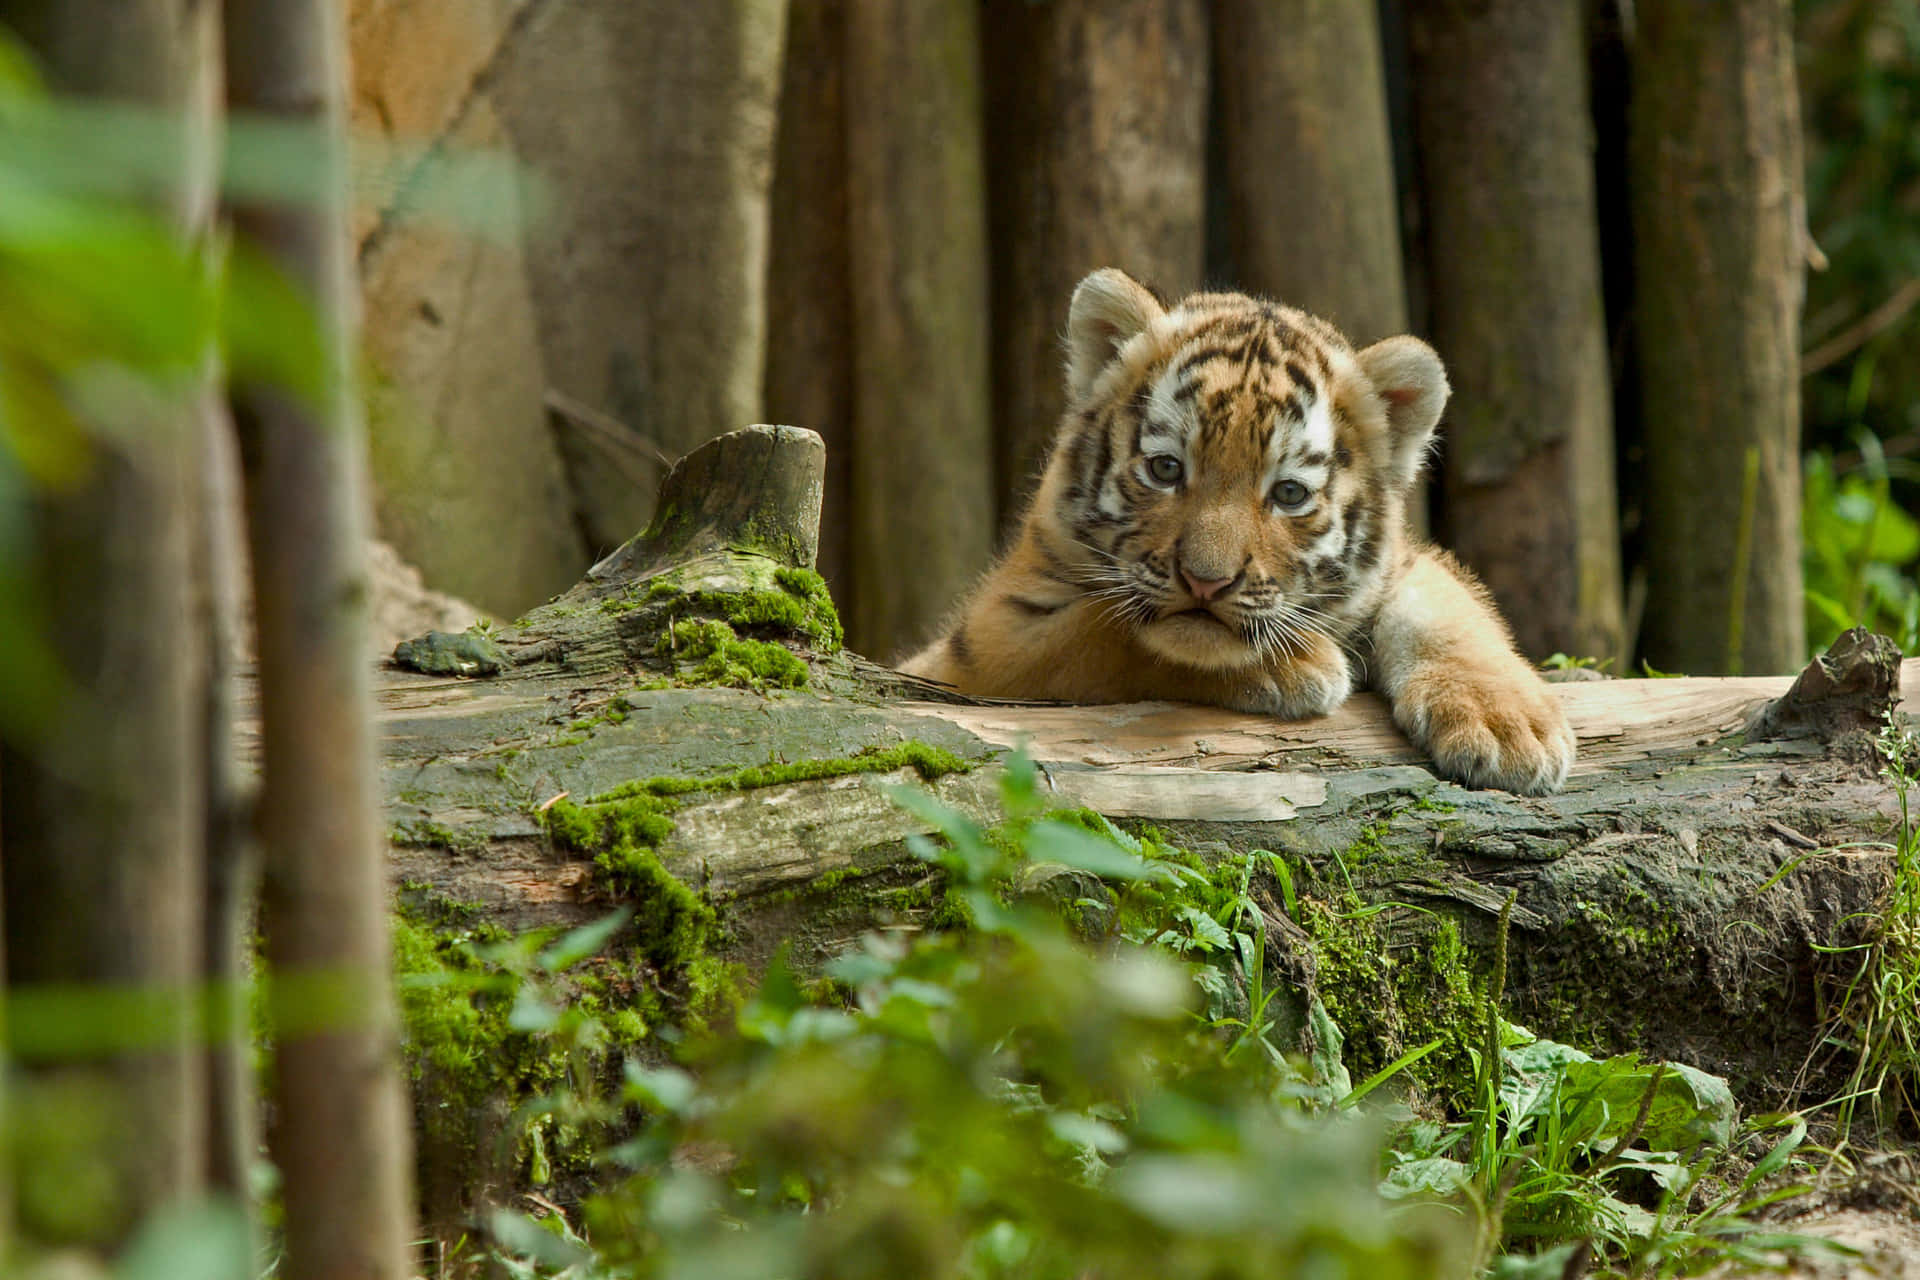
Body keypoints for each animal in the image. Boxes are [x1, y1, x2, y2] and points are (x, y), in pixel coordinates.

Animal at [900, 267, 1575, 795]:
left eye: (1289, 494)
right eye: (1166, 469)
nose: (1205, 582)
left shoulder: (1403, 567)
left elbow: (1447, 609)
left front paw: (1508, 728)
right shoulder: (989, 638)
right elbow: (1098, 634)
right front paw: (1296, 665)